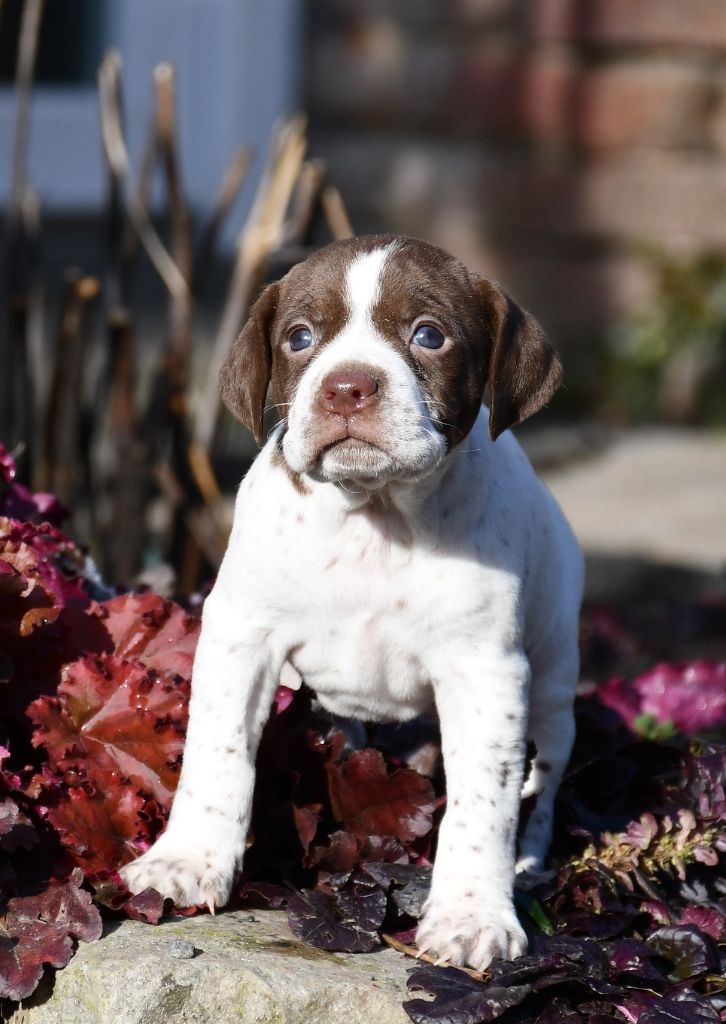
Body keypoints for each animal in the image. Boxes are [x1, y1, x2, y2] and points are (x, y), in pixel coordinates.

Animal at [120, 235, 581, 970]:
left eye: (429, 335)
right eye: (300, 338)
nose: (347, 386)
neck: (374, 513)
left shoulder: (485, 672)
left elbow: (485, 799)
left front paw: (473, 914)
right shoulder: (240, 636)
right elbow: (217, 755)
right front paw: (186, 860)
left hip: (555, 686)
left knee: (540, 785)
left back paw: (526, 867)